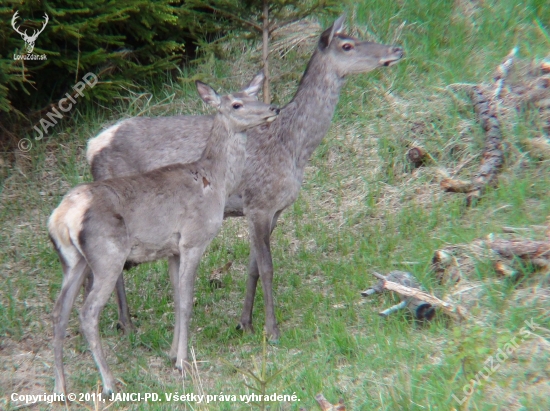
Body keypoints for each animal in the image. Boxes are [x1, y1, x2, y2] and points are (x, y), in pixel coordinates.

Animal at [48, 74, 280, 396]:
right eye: (236, 103)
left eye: (253, 95)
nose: (273, 108)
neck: (215, 181)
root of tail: (61, 217)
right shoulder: (194, 238)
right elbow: (187, 299)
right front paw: (183, 361)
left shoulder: (172, 250)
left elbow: (177, 298)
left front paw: (172, 354)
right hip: (107, 254)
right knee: (87, 312)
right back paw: (109, 383)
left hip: (72, 261)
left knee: (60, 312)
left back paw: (60, 387)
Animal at [87, 14, 406, 342]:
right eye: (347, 45)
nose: (396, 49)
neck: (294, 147)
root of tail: (92, 145)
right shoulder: (259, 202)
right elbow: (267, 267)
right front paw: (272, 330)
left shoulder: (272, 209)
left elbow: (253, 267)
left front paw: (245, 323)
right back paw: (125, 323)